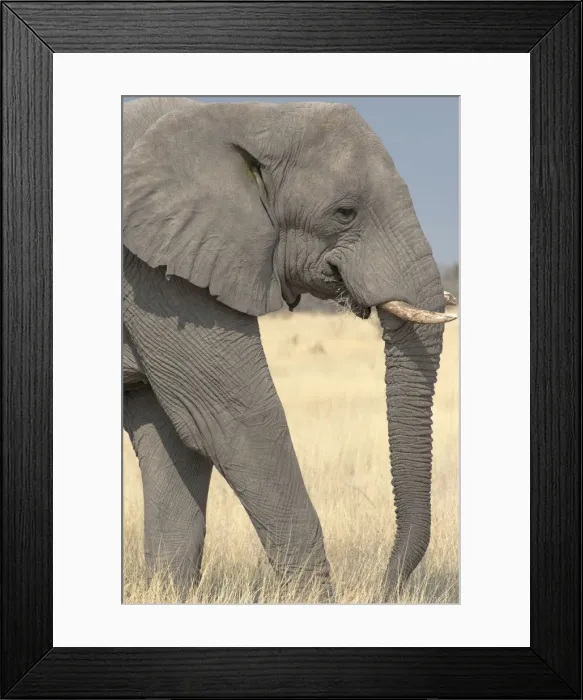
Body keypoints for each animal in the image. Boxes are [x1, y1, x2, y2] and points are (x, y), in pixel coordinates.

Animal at [122, 97, 456, 599]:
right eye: (344, 212)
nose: (384, 588)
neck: (250, 116)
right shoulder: (156, 277)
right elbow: (232, 421)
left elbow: (173, 438)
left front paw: (167, 596)